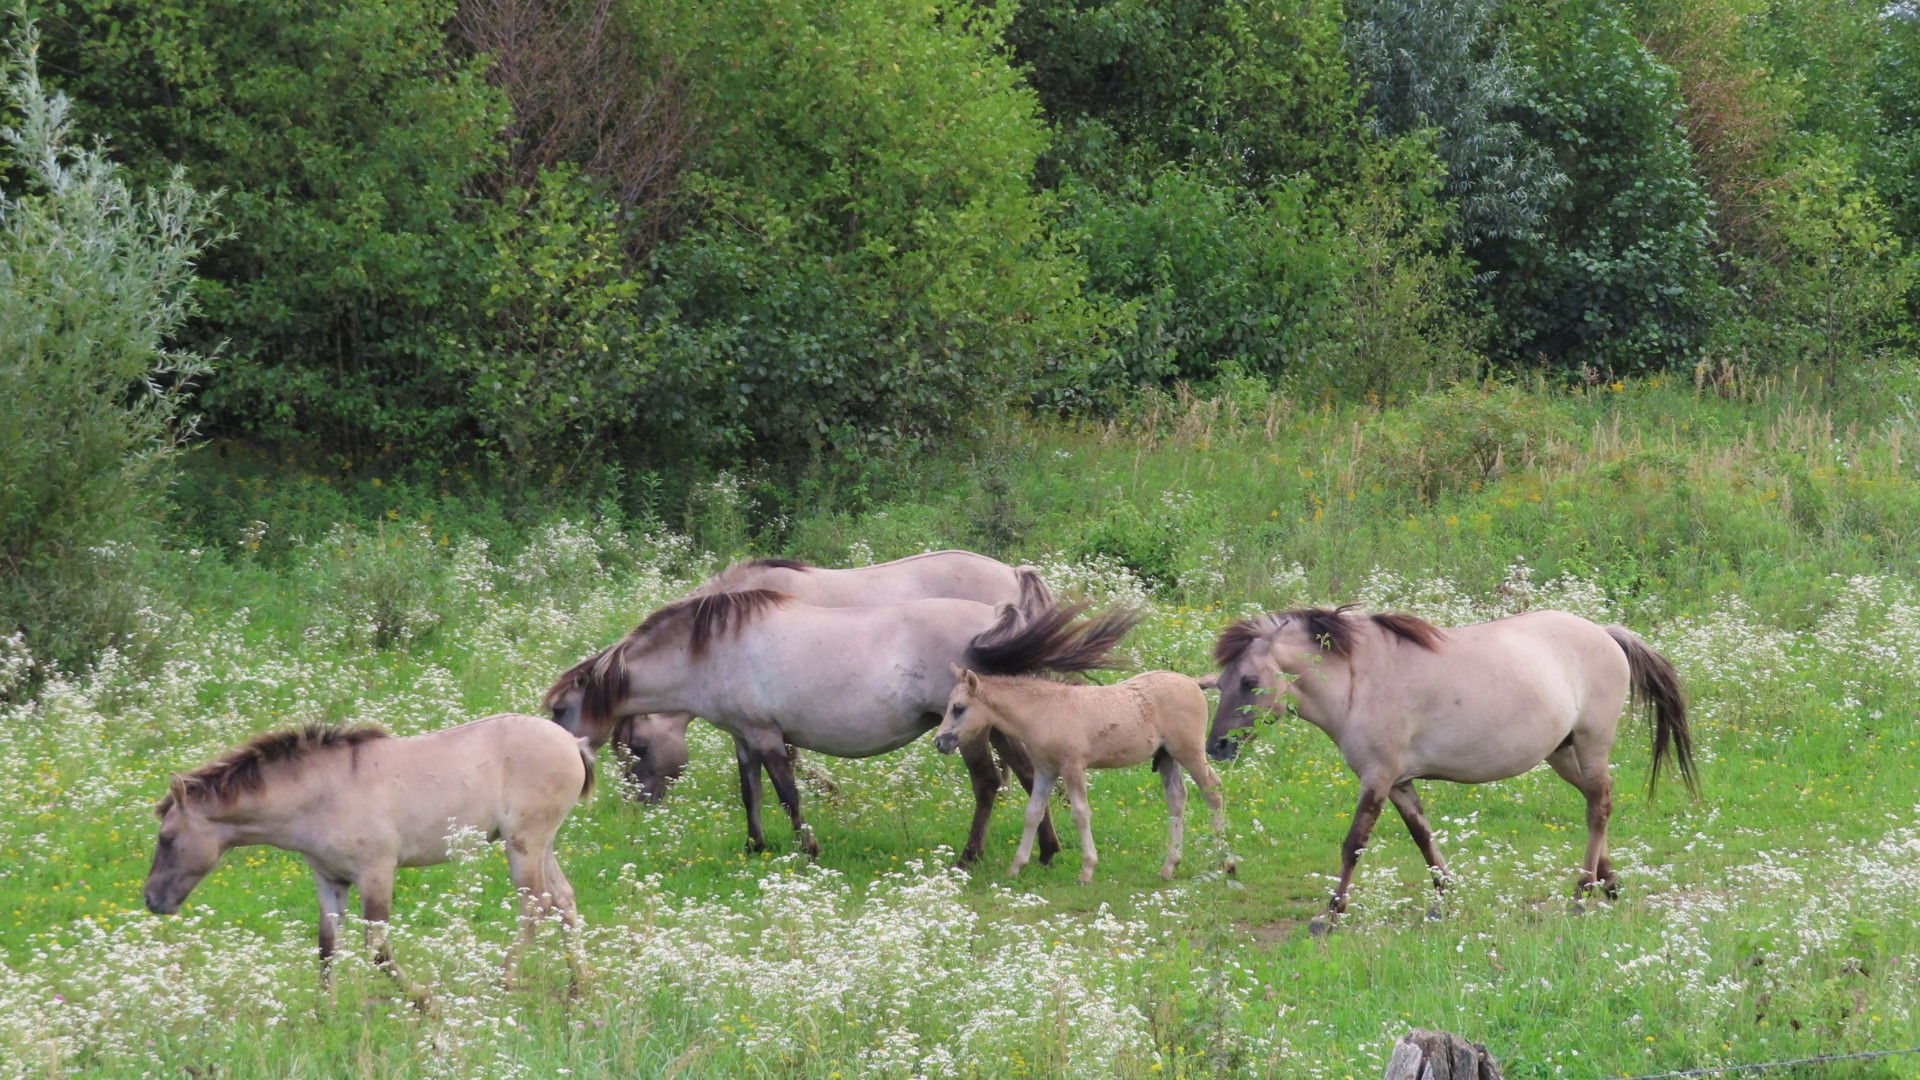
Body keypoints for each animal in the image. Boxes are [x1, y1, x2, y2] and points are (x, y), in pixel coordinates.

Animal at [145, 714, 595, 1006]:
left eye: (166, 838)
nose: (151, 900)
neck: (322, 793)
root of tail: (572, 743)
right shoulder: (330, 880)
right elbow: (328, 946)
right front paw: (323, 1014)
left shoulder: (376, 874)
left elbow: (376, 948)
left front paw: (423, 1000)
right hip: (541, 845)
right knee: (564, 901)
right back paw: (579, 986)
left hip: (523, 845)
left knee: (535, 907)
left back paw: (501, 984)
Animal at [546, 592, 1137, 863]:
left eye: (559, 712)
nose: (642, 802)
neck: (712, 650)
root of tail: (993, 622)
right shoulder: (744, 737)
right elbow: (750, 792)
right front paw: (755, 846)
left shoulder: (767, 736)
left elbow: (788, 793)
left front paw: (808, 848)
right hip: (999, 728)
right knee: (1027, 776)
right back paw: (1048, 851)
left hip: (970, 734)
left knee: (989, 784)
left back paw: (971, 857)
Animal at [932, 668, 1228, 884]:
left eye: (958, 707)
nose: (939, 742)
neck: (1044, 711)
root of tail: (1193, 682)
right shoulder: (1045, 771)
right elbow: (1033, 813)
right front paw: (1016, 867)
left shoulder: (1073, 767)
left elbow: (1081, 813)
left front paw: (1087, 870)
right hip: (1167, 757)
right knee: (1177, 799)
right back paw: (1169, 866)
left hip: (1188, 751)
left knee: (1213, 792)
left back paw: (1226, 862)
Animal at [1206, 606, 1696, 931]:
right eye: (1220, 682)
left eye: (1249, 681)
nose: (1216, 747)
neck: (1359, 682)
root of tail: (1606, 634)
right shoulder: (1399, 783)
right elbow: (1424, 841)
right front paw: (1443, 903)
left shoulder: (1377, 779)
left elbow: (1354, 845)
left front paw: (1329, 914)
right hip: (1562, 752)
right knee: (1600, 801)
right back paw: (1607, 884)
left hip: (1591, 744)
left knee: (1598, 805)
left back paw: (1581, 894)